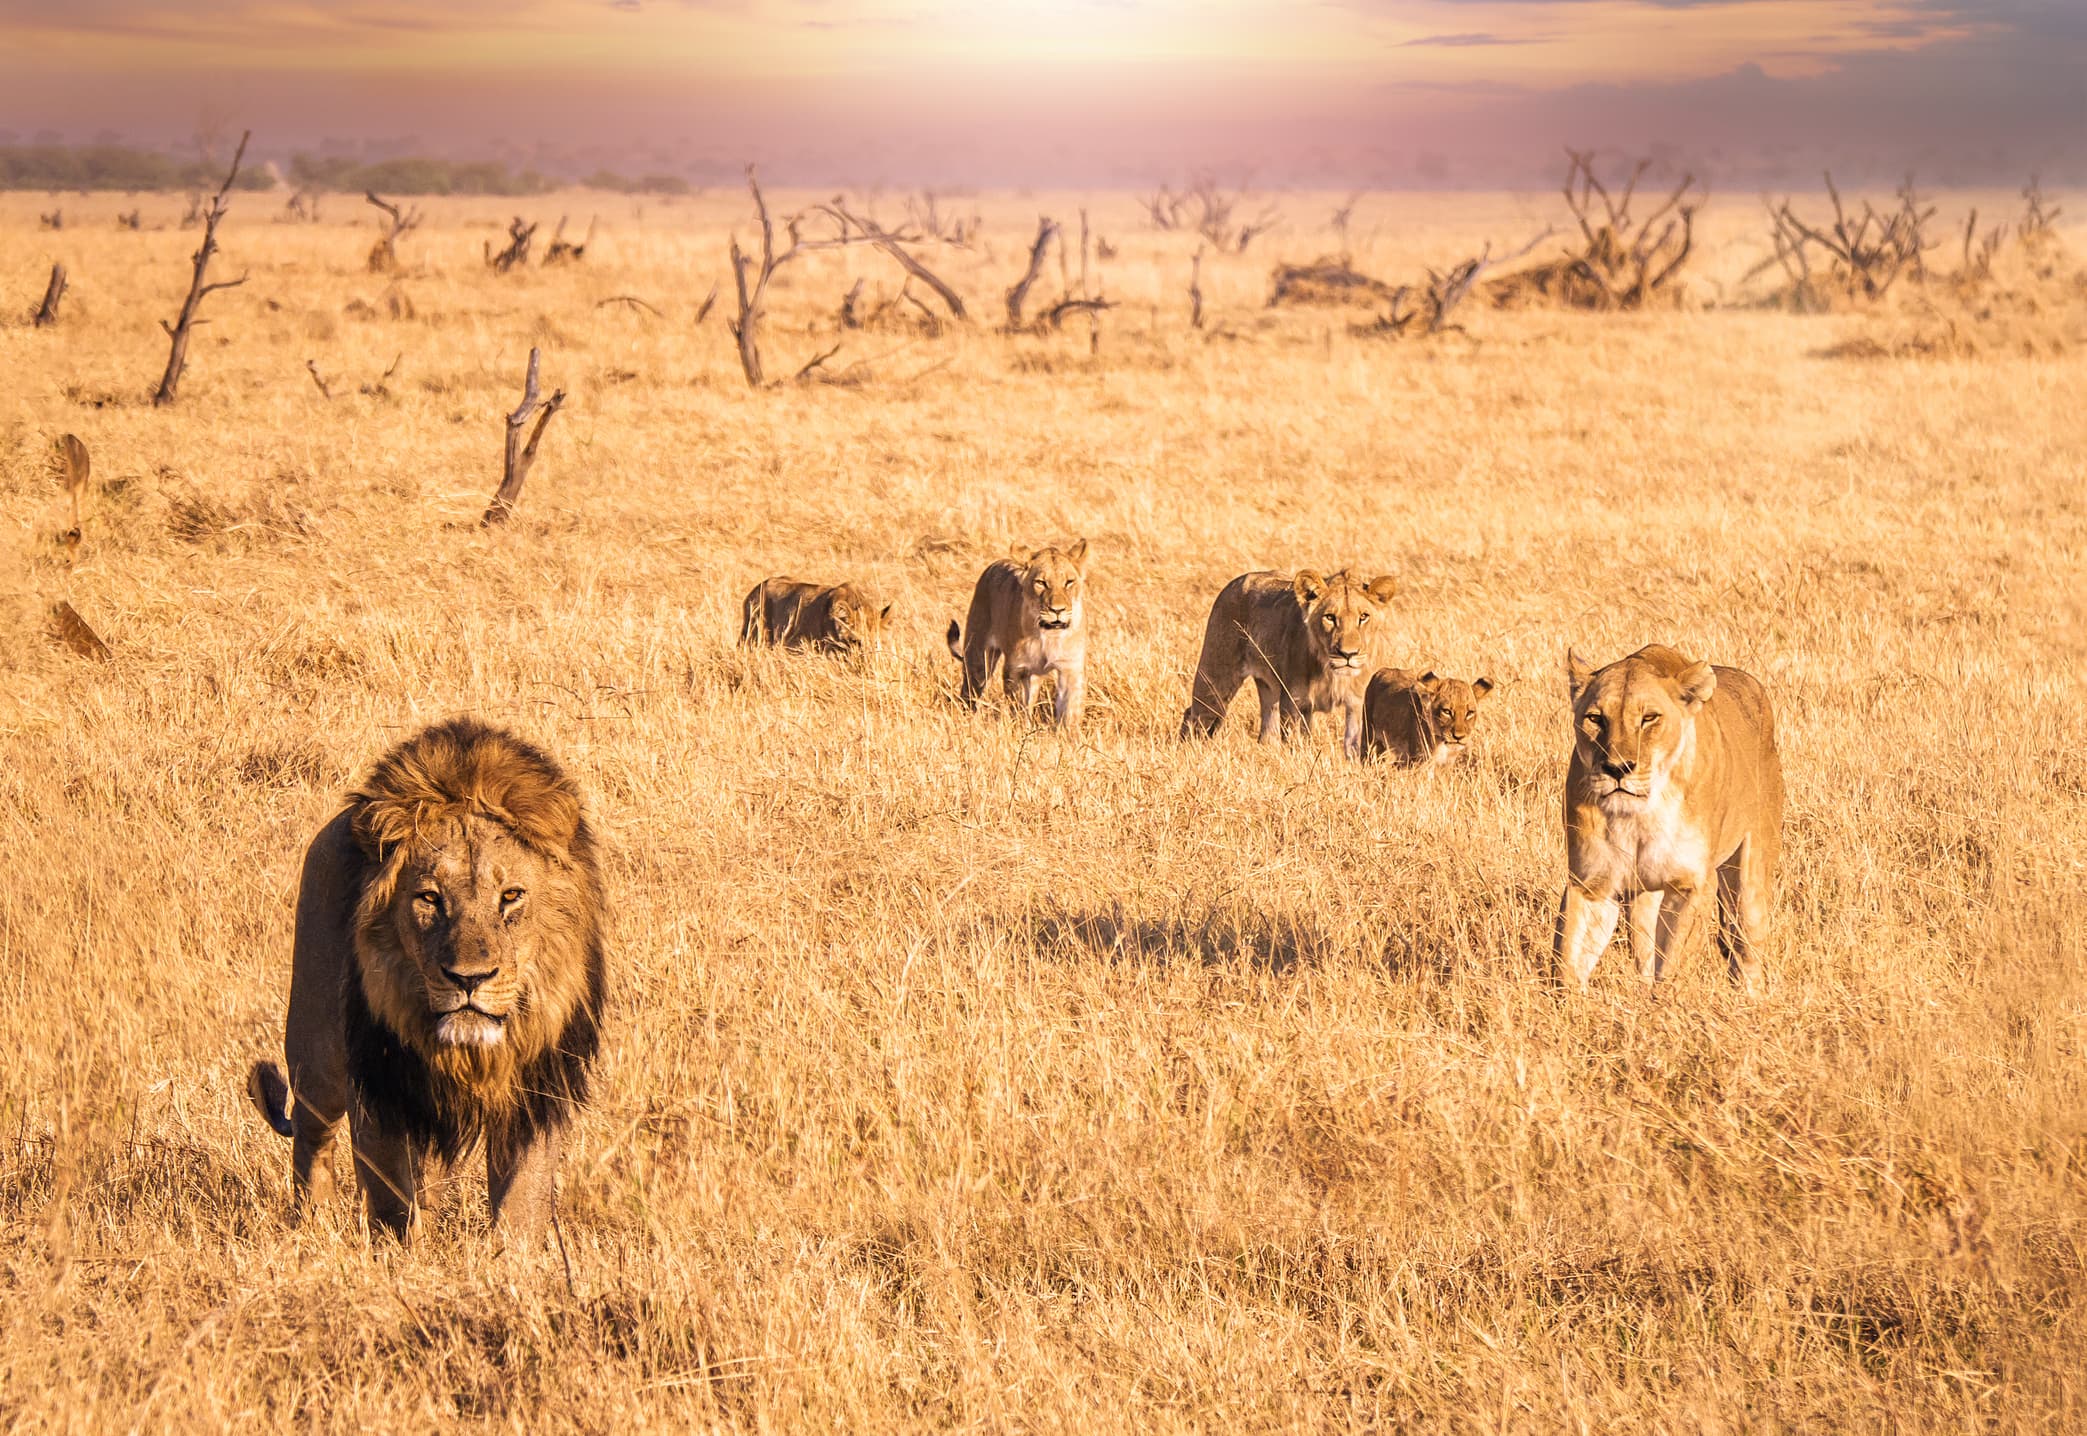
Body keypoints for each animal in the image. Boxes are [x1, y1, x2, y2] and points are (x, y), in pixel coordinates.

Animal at [246, 717, 606, 1240]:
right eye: (430, 898)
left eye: (511, 896)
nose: (468, 980)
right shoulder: (377, 1086)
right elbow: (392, 1199)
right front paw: (402, 1254)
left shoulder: (535, 1089)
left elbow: (521, 1201)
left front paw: (515, 1258)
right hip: (316, 1054)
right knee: (312, 1136)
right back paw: (311, 1224)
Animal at [945, 539, 1090, 729]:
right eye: (1041, 582)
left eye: (1069, 582)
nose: (1057, 610)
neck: (1048, 635)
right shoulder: (1016, 669)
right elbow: (1018, 708)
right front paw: (1022, 730)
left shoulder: (1070, 668)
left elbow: (1071, 710)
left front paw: (1069, 734)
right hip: (977, 658)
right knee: (968, 693)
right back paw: (966, 722)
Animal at [1180, 569, 1398, 758]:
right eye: (1329, 617)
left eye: (1363, 617)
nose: (1348, 654)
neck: (1331, 672)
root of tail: (1237, 581)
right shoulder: (1294, 701)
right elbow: (1296, 743)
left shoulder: (1357, 702)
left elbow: (1353, 744)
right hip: (1216, 680)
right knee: (1195, 715)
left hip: (1269, 690)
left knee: (1267, 732)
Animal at [1364, 668, 1494, 765]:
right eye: (1446, 711)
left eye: (1469, 713)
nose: (1458, 737)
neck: (1441, 743)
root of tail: (1384, 670)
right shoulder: (1419, 761)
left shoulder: (1447, 763)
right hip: (1369, 738)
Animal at [1554, 645, 1784, 991]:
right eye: (1595, 719)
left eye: (1649, 718)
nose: (1617, 769)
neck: (1639, 816)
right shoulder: (1592, 882)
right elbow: (1568, 960)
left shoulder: (1690, 884)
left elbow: (1672, 962)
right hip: (1645, 895)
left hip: (1750, 881)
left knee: (1747, 948)